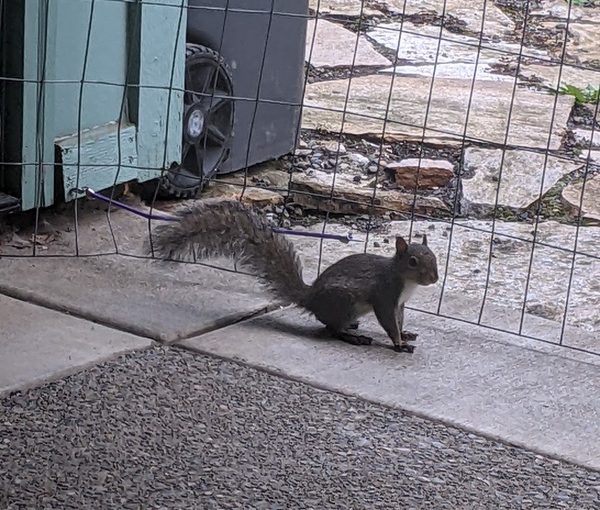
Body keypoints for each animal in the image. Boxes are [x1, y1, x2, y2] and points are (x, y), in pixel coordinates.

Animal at [149, 200, 440, 354]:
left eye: (435, 257)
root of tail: (311, 299)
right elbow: (388, 322)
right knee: (331, 329)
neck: (404, 281)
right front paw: (399, 343)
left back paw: (355, 328)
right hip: (344, 301)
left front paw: (406, 333)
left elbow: (399, 319)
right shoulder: (384, 295)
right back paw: (353, 336)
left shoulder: (399, 302)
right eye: (413, 261)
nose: (435, 279)